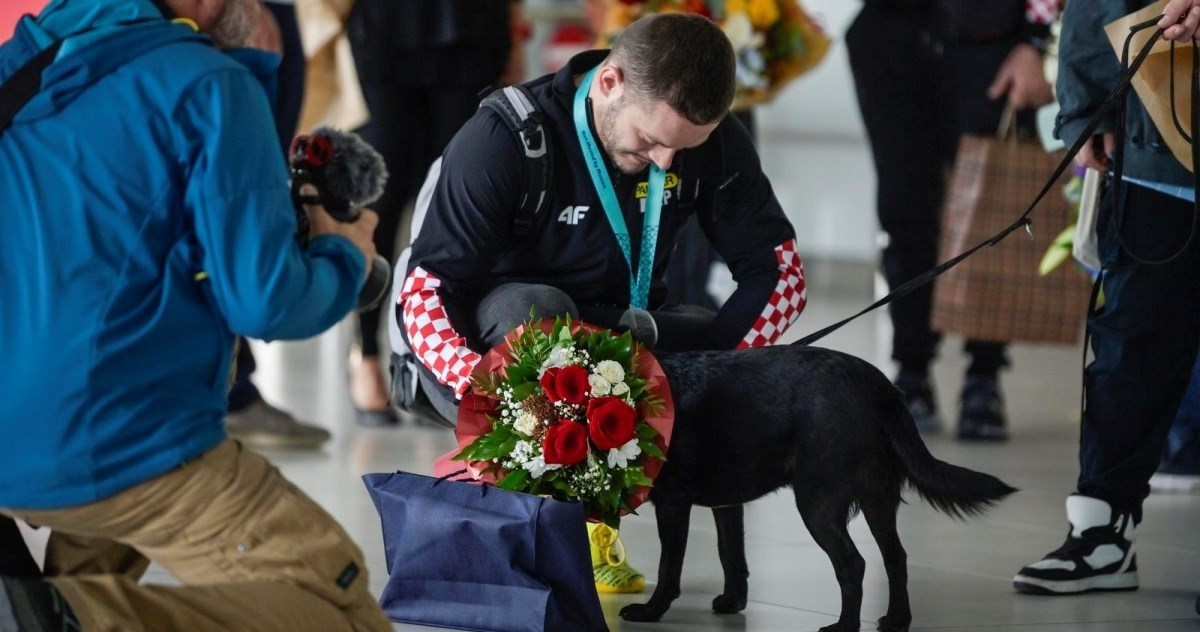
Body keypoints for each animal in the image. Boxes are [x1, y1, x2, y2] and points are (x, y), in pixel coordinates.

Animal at [624, 342, 1017, 628]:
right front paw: (732, 602)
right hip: (878, 500)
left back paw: (844, 627)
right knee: (895, 557)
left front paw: (650, 612)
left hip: (818, 505)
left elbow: (669, 567)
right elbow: (730, 552)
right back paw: (896, 620)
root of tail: (881, 388)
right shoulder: (726, 504)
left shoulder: (673, 502)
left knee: (853, 564)